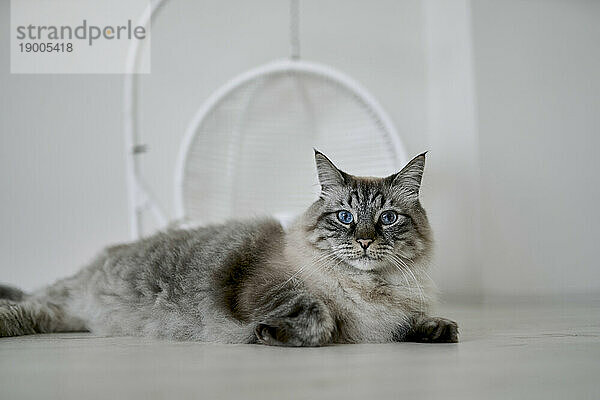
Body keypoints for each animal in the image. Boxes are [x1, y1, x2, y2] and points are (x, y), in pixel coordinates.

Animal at [0, 152, 458, 346]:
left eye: (388, 218)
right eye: (345, 217)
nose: (364, 240)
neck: (370, 290)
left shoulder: (388, 318)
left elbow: (416, 323)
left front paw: (436, 329)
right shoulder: (268, 288)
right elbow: (319, 317)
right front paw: (273, 335)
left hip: (60, 315)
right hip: (55, 301)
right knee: (22, 305)